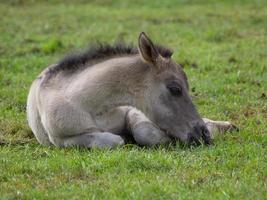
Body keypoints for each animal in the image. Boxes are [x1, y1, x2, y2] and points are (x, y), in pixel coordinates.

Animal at [26, 32, 238, 148]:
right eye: (175, 89)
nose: (203, 135)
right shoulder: (60, 139)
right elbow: (113, 140)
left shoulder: (133, 110)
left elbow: (145, 132)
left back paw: (226, 126)